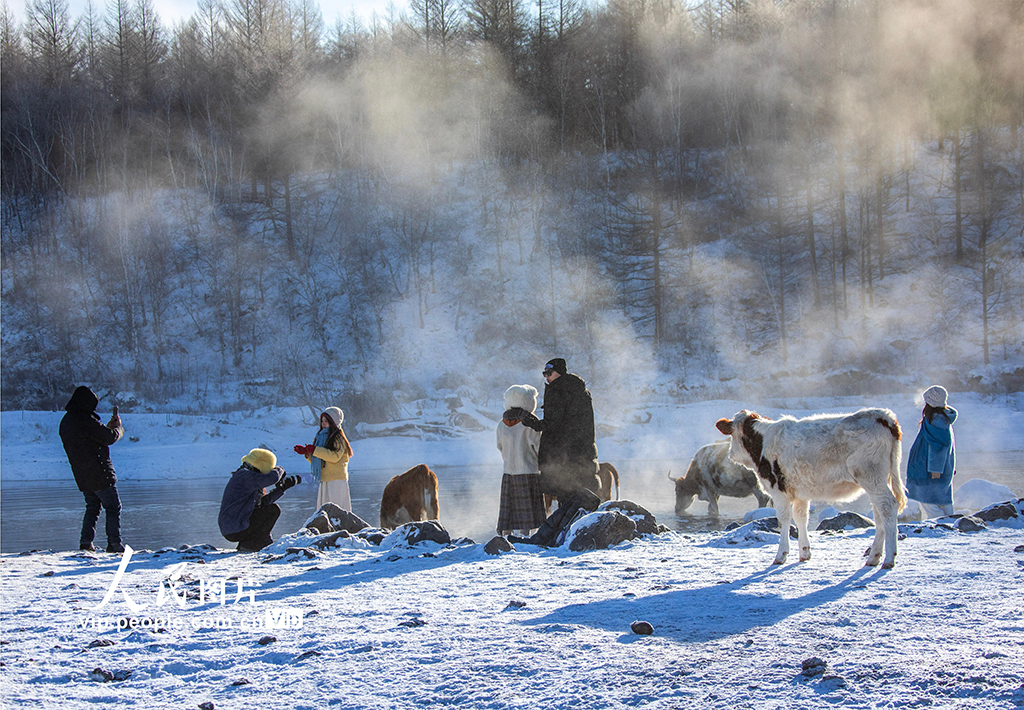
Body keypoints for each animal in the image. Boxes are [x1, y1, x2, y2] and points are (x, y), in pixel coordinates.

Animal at [716, 407, 909, 569]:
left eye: (731, 434)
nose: (730, 454)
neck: (761, 443)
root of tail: (882, 415)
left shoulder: (779, 491)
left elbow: (784, 520)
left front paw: (781, 555)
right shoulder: (800, 492)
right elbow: (801, 518)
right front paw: (804, 553)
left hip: (872, 477)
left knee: (888, 506)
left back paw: (888, 558)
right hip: (878, 481)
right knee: (879, 513)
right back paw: (874, 557)